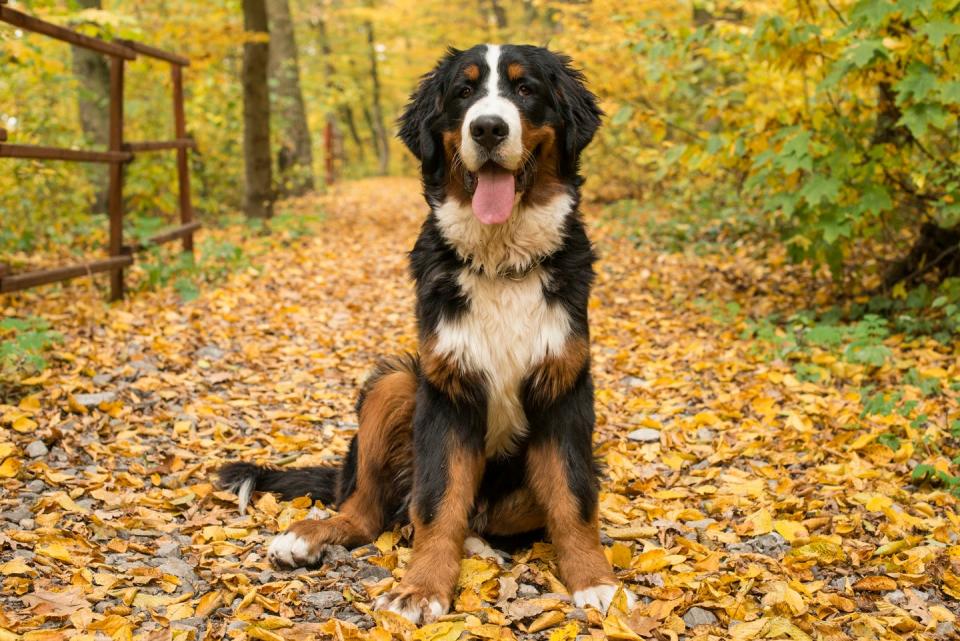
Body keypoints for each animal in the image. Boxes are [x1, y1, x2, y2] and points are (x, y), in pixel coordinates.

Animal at [220, 43, 632, 620]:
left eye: (525, 89)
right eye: (464, 91)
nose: (487, 128)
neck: (500, 264)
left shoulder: (563, 388)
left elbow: (572, 500)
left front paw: (595, 581)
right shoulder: (447, 390)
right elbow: (438, 501)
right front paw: (422, 587)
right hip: (394, 383)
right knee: (373, 511)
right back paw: (308, 536)